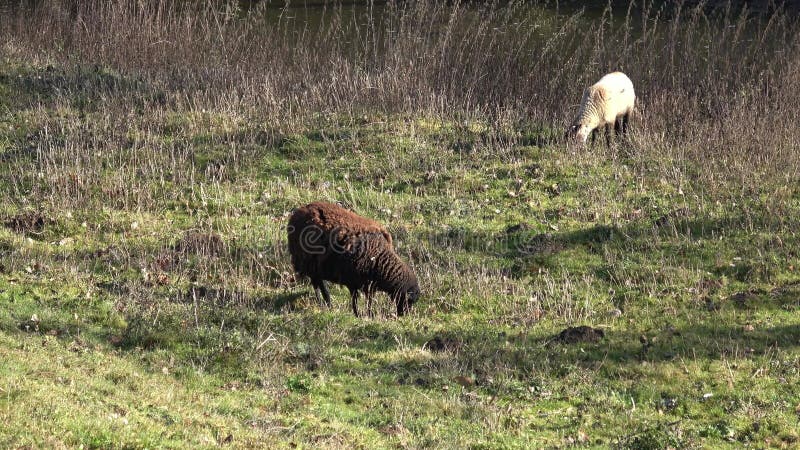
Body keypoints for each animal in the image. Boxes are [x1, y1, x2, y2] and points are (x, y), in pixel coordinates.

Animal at [286, 202, 418, 318]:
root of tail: (298, 212)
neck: (380, 260)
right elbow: (356, 299)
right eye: (409, 301)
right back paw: (324, 302)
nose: (403, 315)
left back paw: (327, 303)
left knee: (318, 282)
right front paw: (360, 314)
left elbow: (368, 300)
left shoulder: (368, 284)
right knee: (317, 284)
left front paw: (367, 314)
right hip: (308, 263)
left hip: (314, 266)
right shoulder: (353, 281)